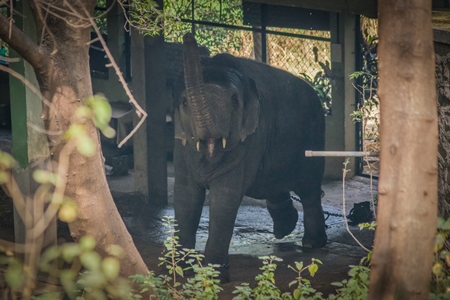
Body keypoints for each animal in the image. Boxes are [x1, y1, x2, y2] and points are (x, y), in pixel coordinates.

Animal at [172, 34, 326, 282]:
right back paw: (284, 229)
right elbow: (186, 195)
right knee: (274, 185)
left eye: (235, 101)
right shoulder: (181, 141)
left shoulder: (250, 138)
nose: (188, 35)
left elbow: (225, 195)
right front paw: (178, 270)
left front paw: (214, 276)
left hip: (314, 134)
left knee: (309, 189)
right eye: (185, 102)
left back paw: (312, 244)